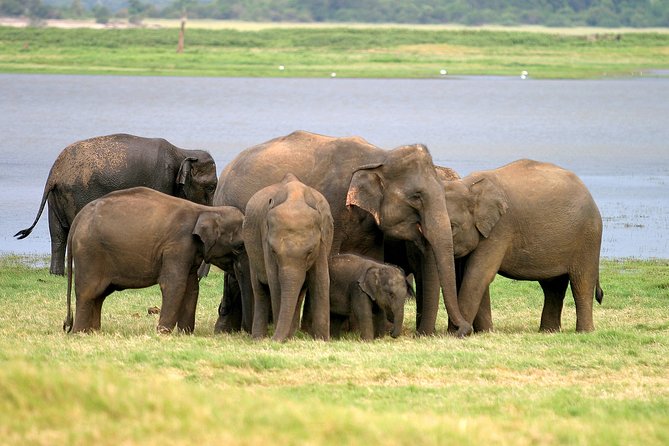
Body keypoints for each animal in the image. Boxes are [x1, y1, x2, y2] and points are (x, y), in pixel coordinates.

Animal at [15, 133, 218, 276]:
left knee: (57, 234)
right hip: (76, 194)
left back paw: (56, 275)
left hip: (55, 198)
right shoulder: (161, 180)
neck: (184, 152)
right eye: (211, 187)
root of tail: (55, 173)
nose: (201, 276)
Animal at [63, 187, 244, 334]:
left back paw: (93, 332)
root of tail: (79, 217)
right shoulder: (178, 246)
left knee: (100, 295)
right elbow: (174, 284)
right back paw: (80, 333)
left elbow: (192, 288)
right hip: (89, 252)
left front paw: (185, 334)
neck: (207, 210)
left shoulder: (189, 251)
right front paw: (163, 333)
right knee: (88, 292)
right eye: (239, 247)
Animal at [243, 173, 333, 342]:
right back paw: (259, 338)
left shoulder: (323, 240)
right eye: (273, 251)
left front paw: (323, 341)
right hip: (251, 250)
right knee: (259, 289)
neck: (295, 198)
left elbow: (321, 280)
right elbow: (275, 283)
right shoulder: (265, 238)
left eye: (310, 252)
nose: (274, 340)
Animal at [442, 159, 604, 333]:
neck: (467, 185)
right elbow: (472, 274)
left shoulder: (500, 228)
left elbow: (478, 273)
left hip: (588, 236)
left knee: (582, 282)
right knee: (553, 286)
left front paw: (456, 334)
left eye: (452, 227)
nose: (460, 330)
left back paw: (585, 332)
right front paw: (484, 332)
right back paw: (548, 332)